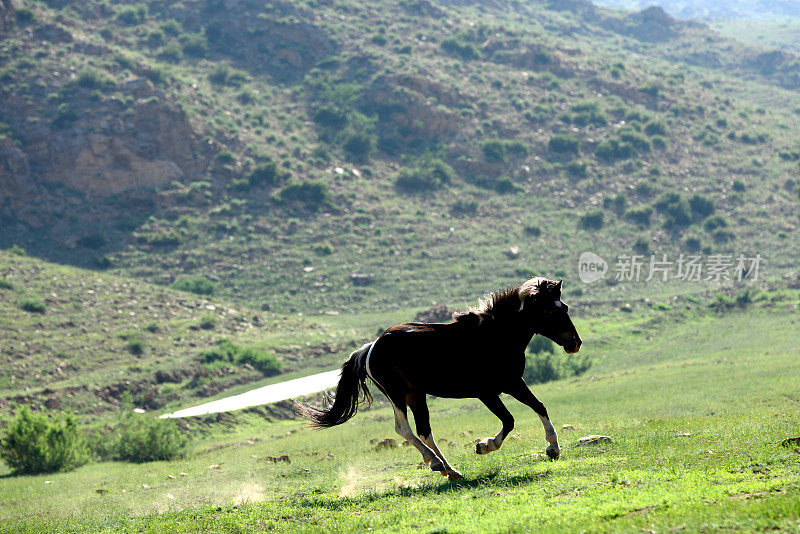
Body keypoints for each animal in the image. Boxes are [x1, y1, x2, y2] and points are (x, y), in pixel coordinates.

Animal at [296, 278, 580, 484]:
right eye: (551, 310)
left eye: (564, 307)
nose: (575, 343)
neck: (494, 336)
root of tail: (370, 348)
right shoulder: (487, 392)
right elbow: (509, 421)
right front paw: (484, 446)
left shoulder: (513, 383)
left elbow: (539, 406)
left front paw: (553, 448)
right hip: (398, 394)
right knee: (404, 429)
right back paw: (436, 463)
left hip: (415, 394)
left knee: (424, 430)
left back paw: (449, 469)